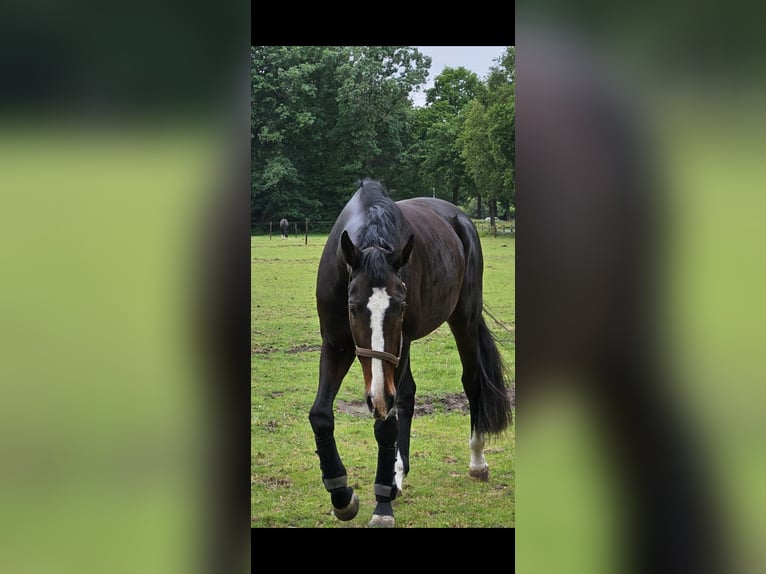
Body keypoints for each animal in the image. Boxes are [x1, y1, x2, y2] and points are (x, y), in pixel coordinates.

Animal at [309, 179, 513, 527]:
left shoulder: (396, 350)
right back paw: (398, 473)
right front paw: (342, 496)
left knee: (471, 382)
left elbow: (386, 424)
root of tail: (459, 217)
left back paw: (477, 461)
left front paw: (382, 504)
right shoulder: (336, 344)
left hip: (464, 321)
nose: (377, 396)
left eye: (400, 306)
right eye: (352, 306)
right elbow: (321, 415)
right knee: (406, 395)